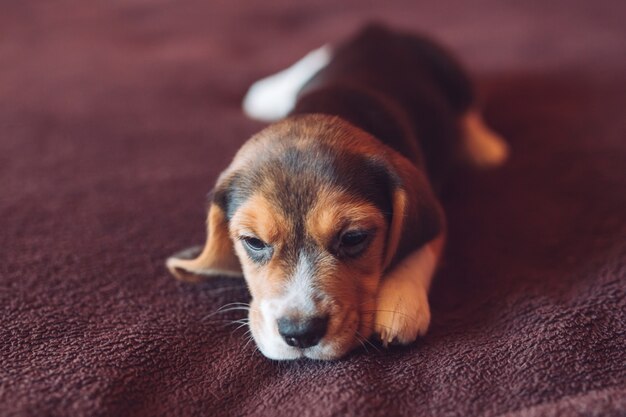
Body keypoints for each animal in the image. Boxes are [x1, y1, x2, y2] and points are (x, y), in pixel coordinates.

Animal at [167, 24, 508, 360]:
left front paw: (400, 301)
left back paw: (485, 148)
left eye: (353, 238)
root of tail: (382, 29)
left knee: (469, 111)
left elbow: (418, 248)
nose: (300, 333)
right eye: (254, 242)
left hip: (451, 73)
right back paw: (264, 92)